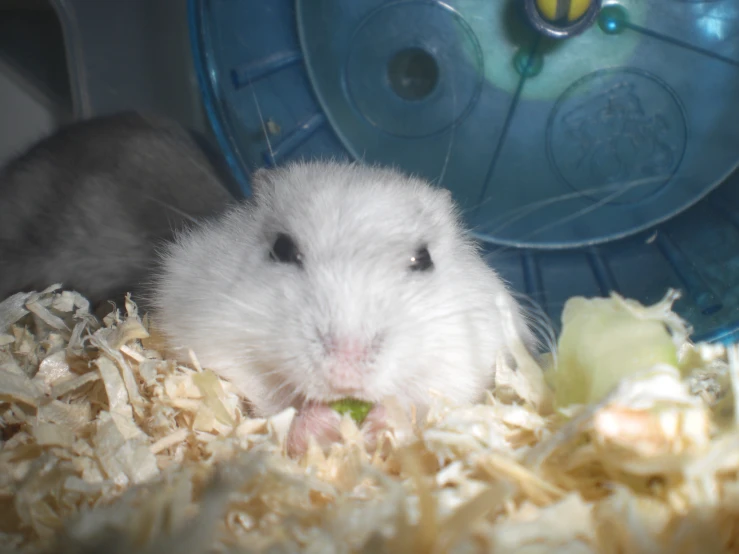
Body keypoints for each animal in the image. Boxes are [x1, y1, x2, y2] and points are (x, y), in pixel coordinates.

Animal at [152, 160, 532, 452]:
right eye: (282, 249)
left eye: (423, 259)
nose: (345, 375)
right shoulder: (216, 345)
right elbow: (268, 406)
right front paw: (322, 423)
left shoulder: (462, 365)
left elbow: (427, 399)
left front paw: (381, 423)